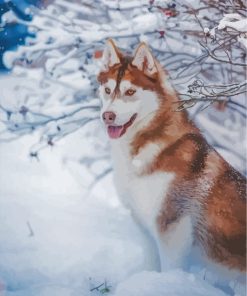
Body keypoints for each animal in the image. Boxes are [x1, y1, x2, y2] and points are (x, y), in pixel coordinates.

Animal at [96, 38, 245, 286]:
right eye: (108, 90)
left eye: (130, 91)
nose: (107, 116)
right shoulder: (143, 224)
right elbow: (151, 263)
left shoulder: (173, 228)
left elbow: (168, 268)